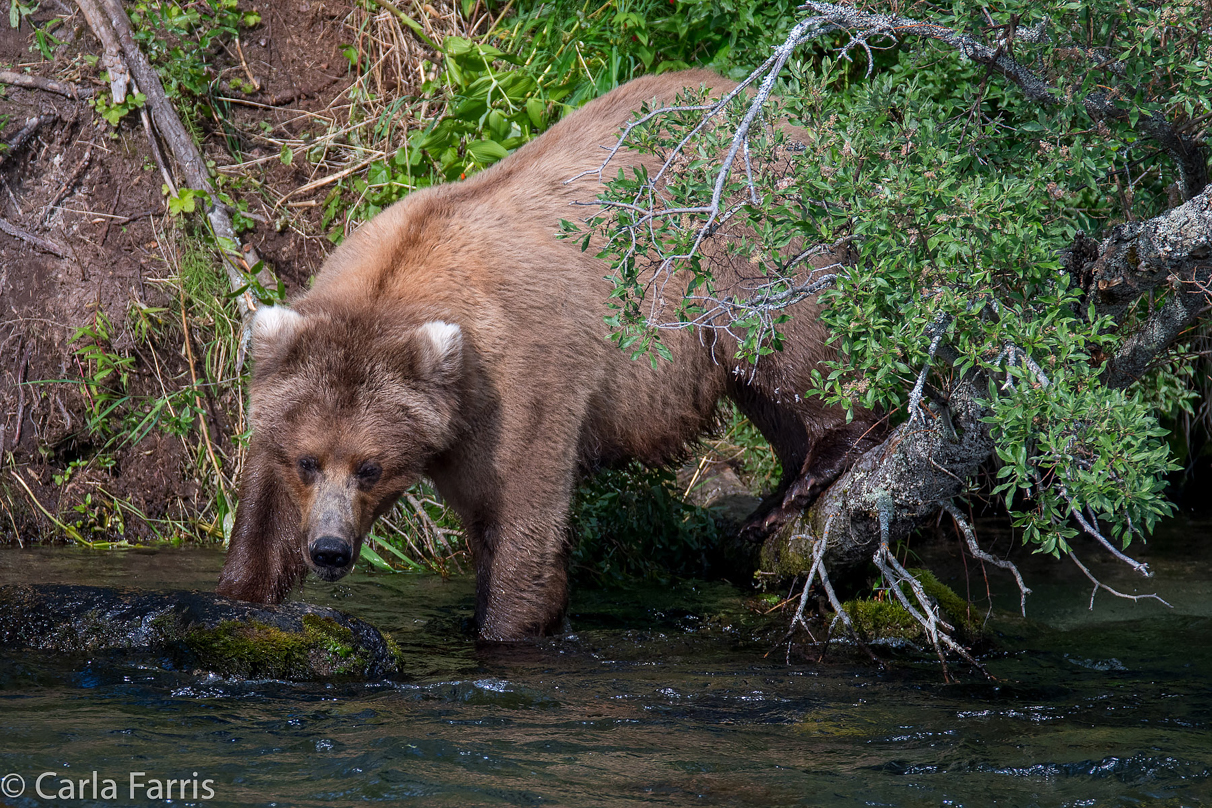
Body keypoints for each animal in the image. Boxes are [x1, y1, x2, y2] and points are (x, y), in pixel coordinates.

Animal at [215, 69, 882, 639]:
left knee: (790, 348)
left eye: (371, 467)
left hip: (747, 251)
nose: (329, 550)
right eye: (308, 461)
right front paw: (243, 593)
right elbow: (266, 516)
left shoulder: (518, 383)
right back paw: (773, 500)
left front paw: (507, 623)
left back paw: (811, 471)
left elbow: (520, 519)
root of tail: (796, 119)